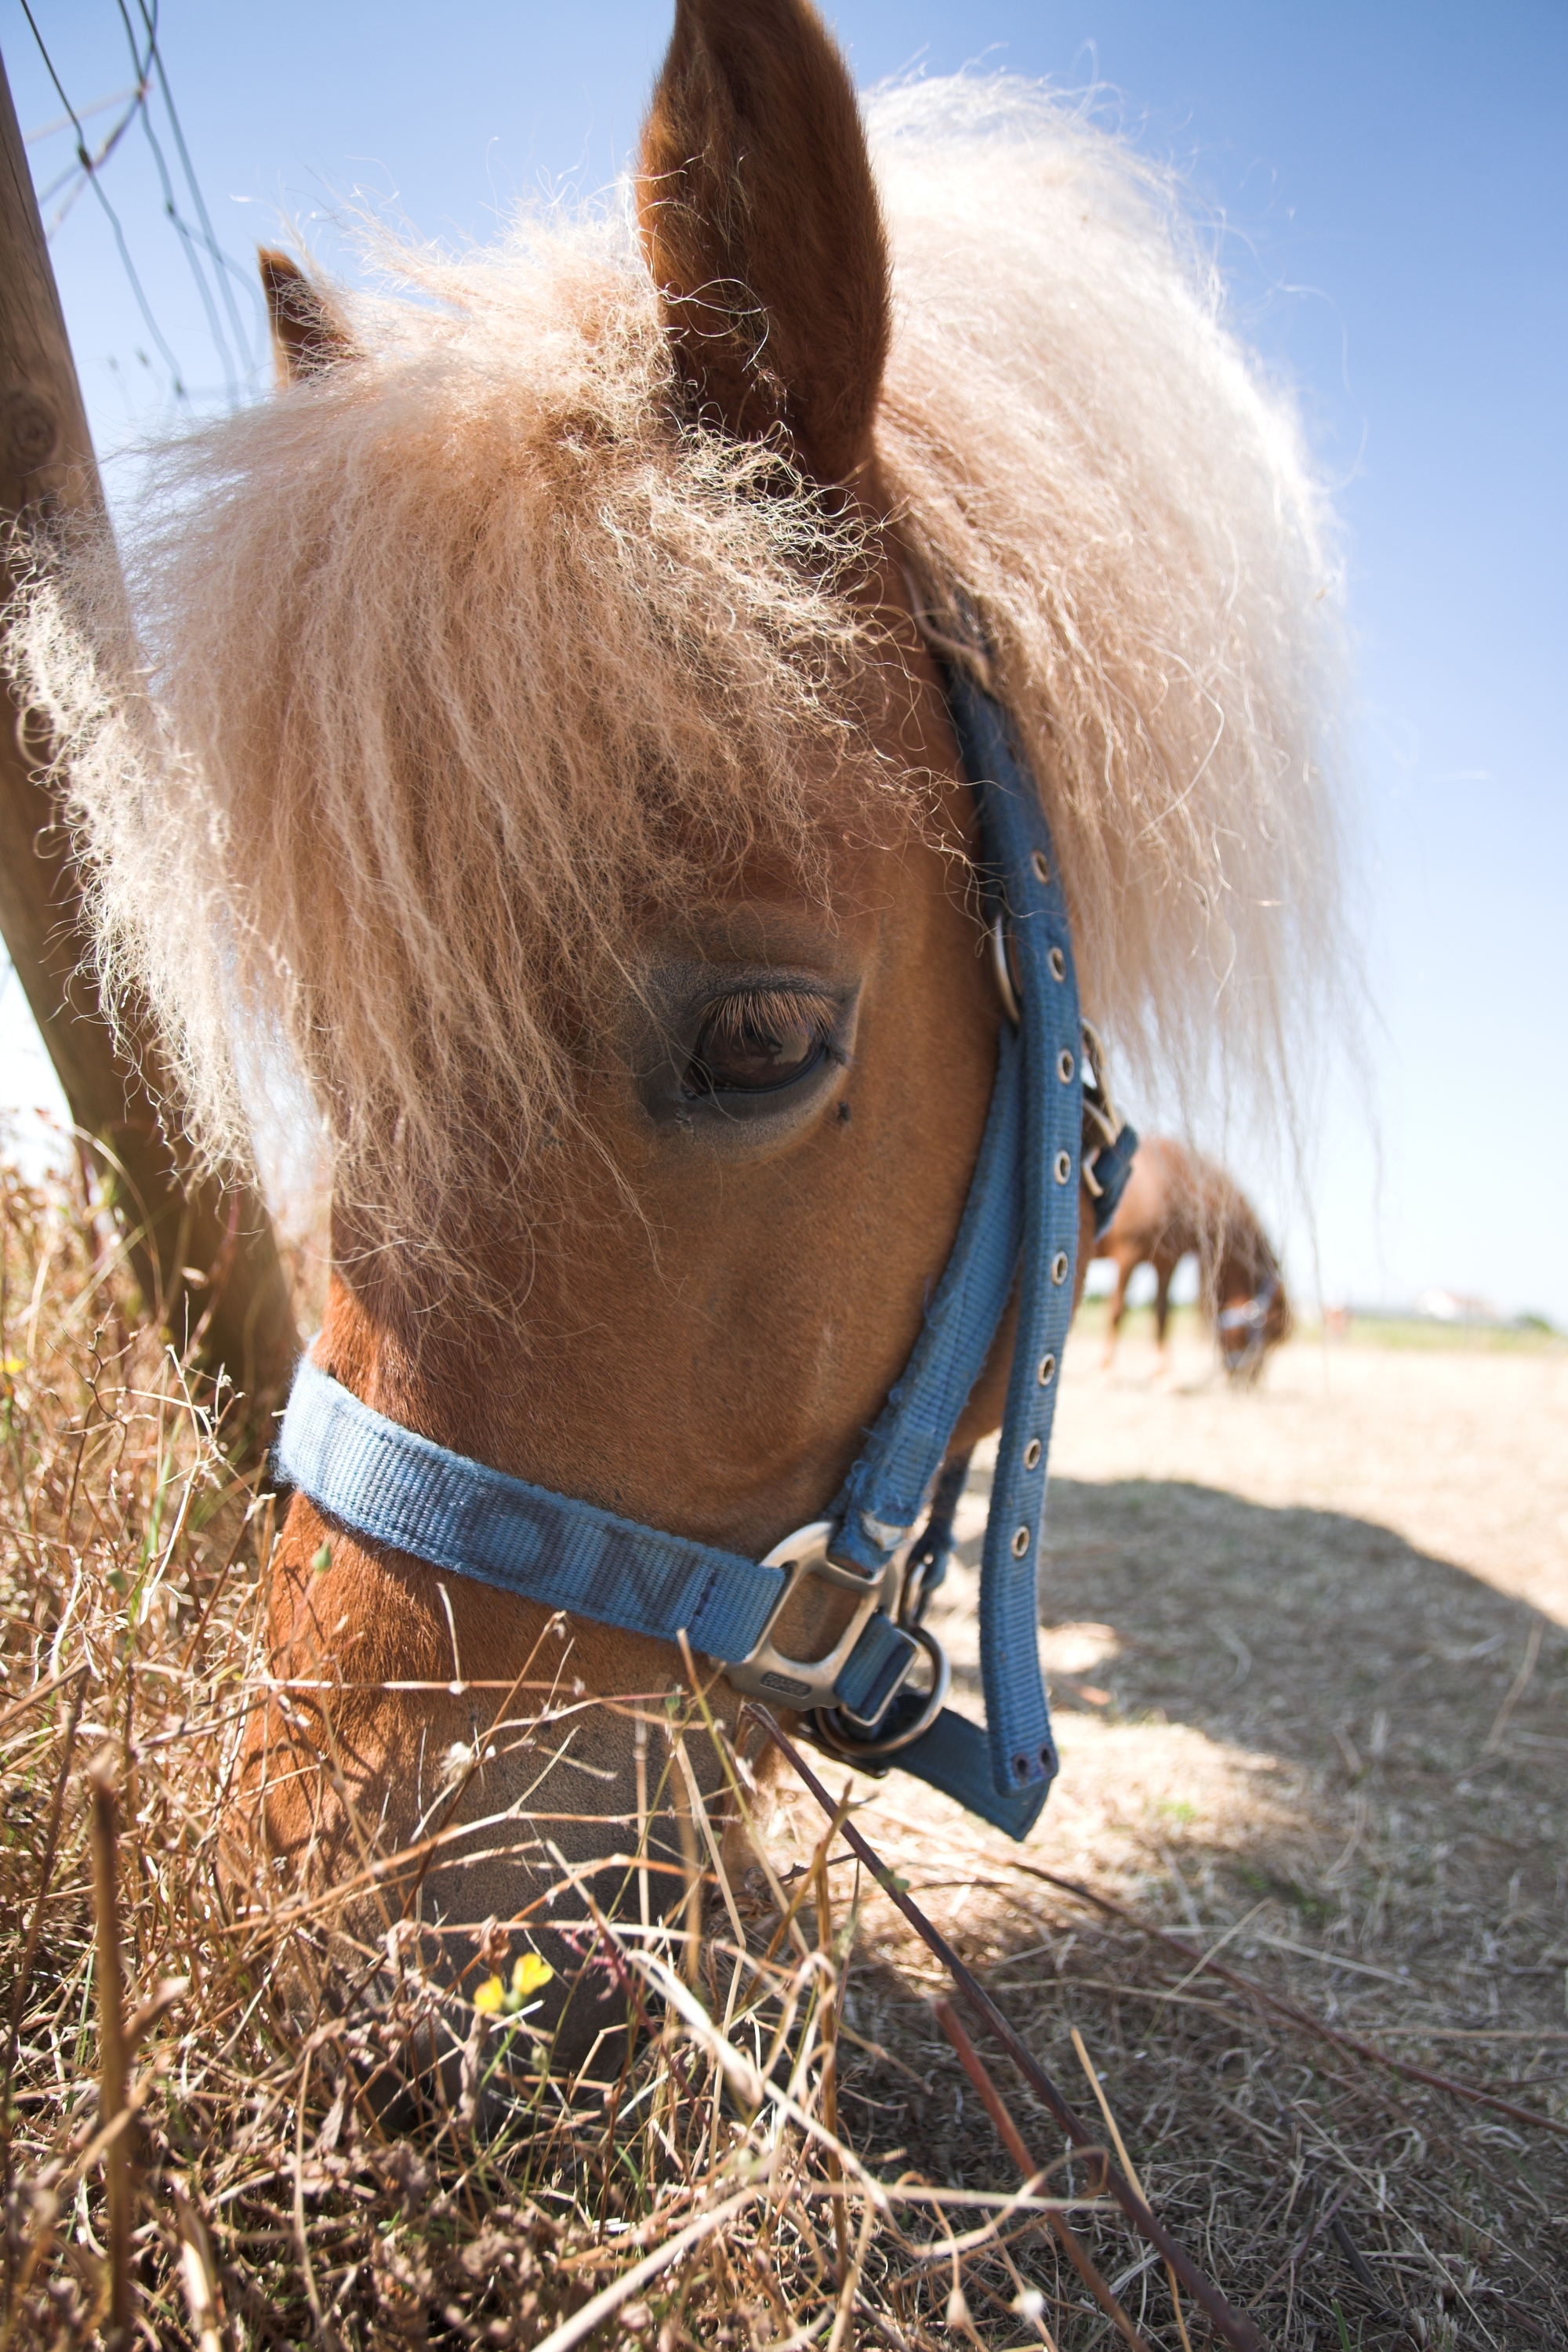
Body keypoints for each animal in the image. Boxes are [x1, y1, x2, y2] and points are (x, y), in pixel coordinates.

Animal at [1091, 1138, 1298, 1374]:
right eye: (1272, 1330)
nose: (1248, 1377)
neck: (1169, 1182)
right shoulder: (1128, 1254)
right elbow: (1117, 1308)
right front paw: (1106, 1367)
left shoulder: (1166, 1262)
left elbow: (1162, 1311)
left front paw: (1162, 1370)